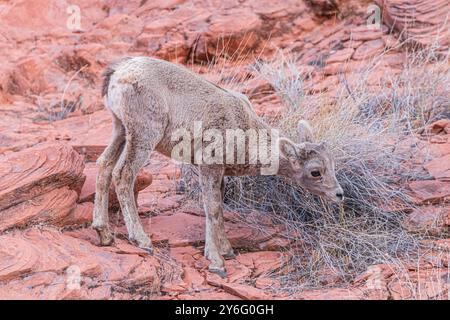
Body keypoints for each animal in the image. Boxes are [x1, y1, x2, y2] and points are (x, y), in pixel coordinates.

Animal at [93, 56, 342, 276]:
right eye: (316, 172)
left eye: (332, 164)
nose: (339, 194)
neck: (245, 132)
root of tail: (118, 72)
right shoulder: (209, 165)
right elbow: (211, 208)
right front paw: (217, 263)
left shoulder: (220, 173)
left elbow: (219, 208)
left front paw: (227, 251)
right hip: (144, 135)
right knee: (123, 174)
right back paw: (142, 240)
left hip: (121, 129)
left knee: (104, 164)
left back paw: (104, 233)